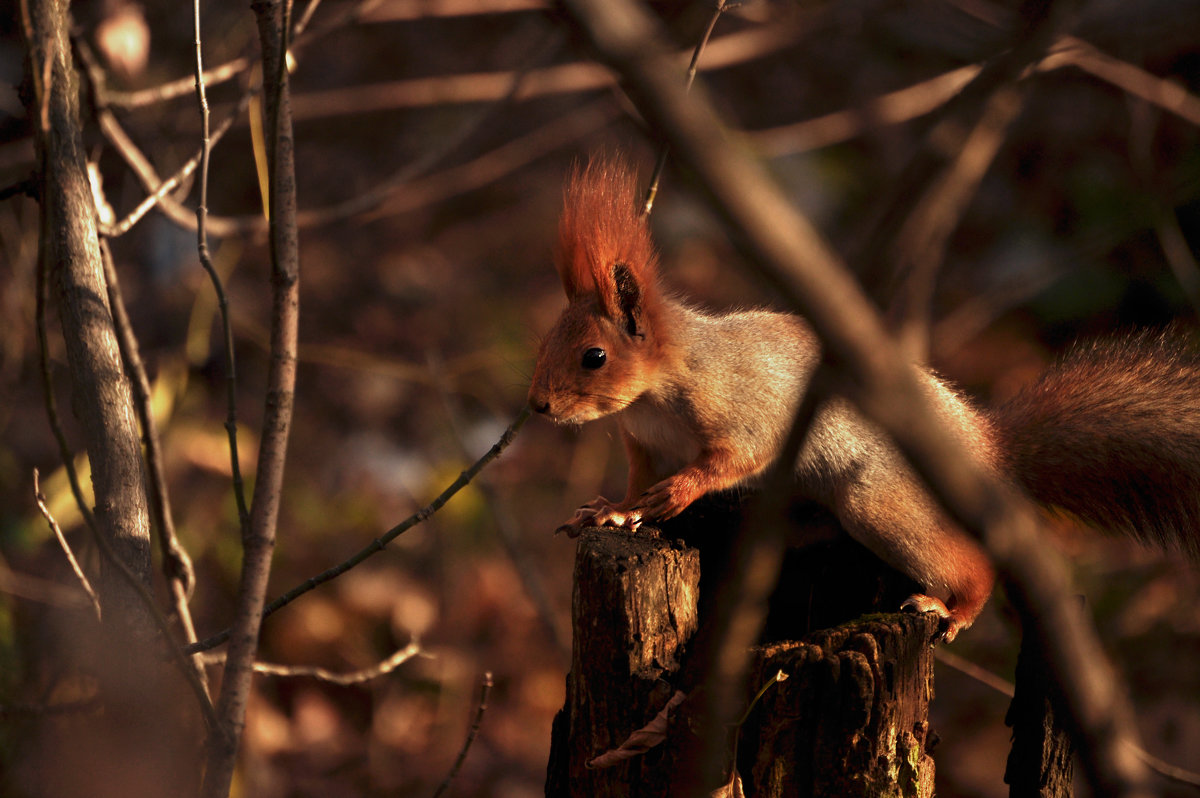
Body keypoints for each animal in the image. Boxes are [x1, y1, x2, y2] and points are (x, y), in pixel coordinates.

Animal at [528, 153, 1200, 643]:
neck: (656, 394)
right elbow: (635, 485)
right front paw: (612, 512)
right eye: (547, 339)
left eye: (594, 356)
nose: (538, 406)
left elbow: (736, 458)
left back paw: (952, 610)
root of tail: (985, 451)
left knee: (971, 564)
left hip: (880, 503)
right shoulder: (645, 445)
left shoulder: (744, 409)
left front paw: (678, 493)